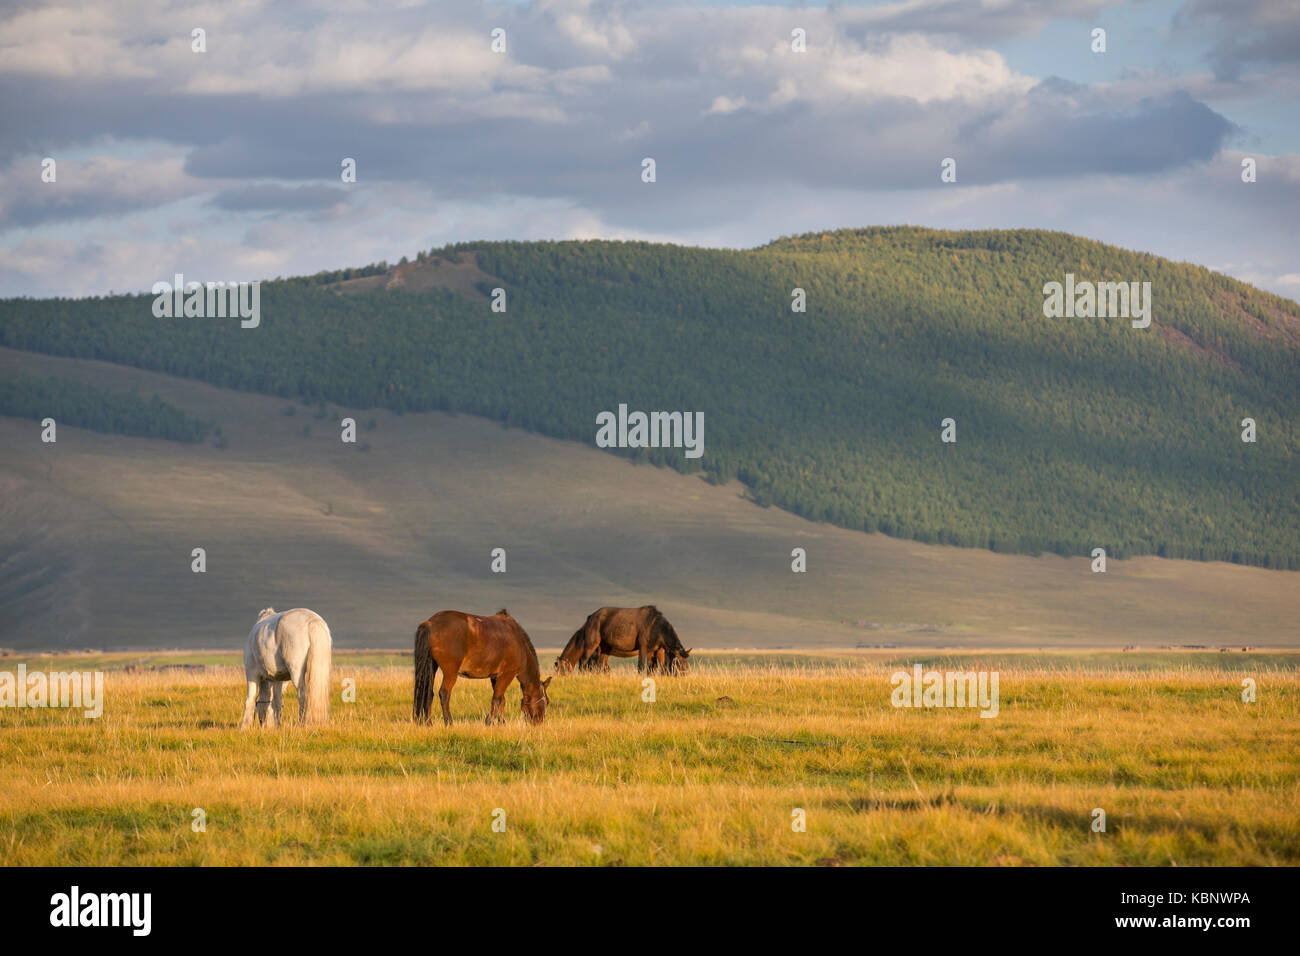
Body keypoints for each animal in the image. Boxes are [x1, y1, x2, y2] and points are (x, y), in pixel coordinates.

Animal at [413, 608, 551, 726]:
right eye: (546, 702)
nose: (540, 723)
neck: (519, 643)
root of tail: (430, 623)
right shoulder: (507, 675)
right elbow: (496, 698)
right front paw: (489, 722)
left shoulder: (495, 677)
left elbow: (501, 700)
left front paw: (501, 723)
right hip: (450, 672)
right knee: (444, 693)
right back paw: (449, 723)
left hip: (432, 667)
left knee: (428, 693)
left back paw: (428, 723)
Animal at [554, 605, 691, 674]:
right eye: (679, 663)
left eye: (687, 664)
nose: (684, 676)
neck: (655, 625)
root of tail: (592, 617)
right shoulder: (643, 648)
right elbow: (641, 667)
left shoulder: (656, 651)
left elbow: (653, 669)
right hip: (591, 646)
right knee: (583, 662)